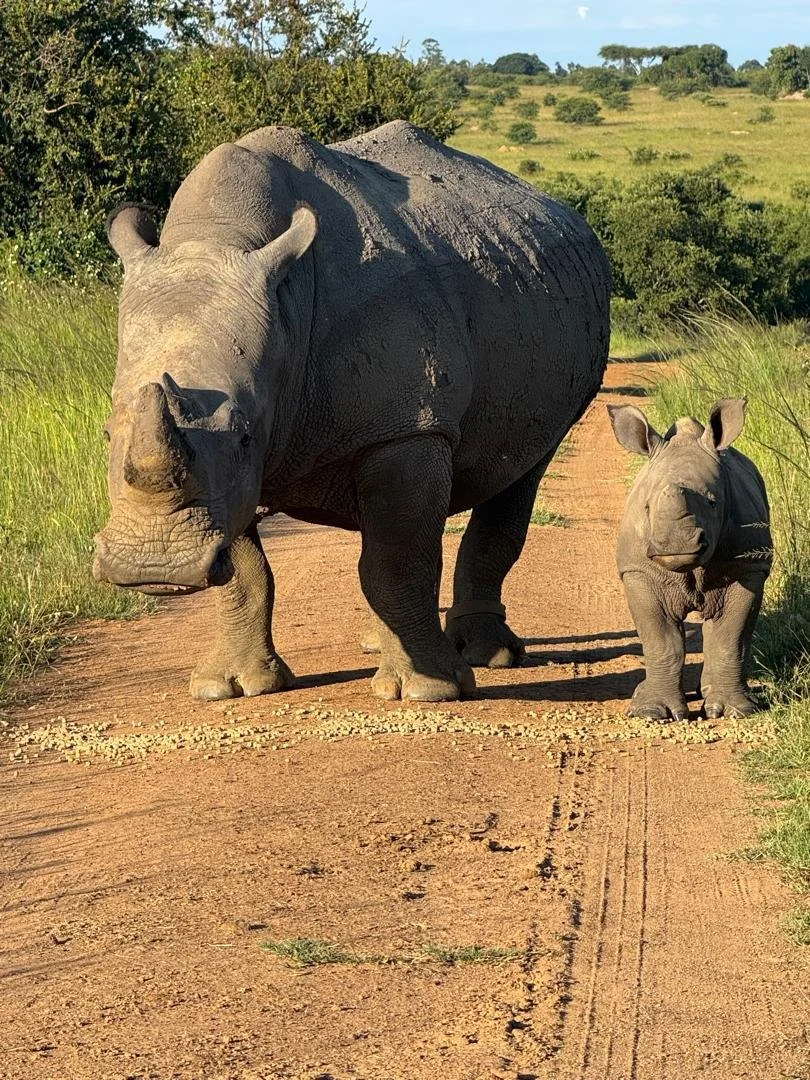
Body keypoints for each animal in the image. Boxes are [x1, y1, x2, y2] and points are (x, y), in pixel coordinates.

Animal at [93, 120, 610, 702]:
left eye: (246, 434)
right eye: (108, 433)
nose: (154, 566)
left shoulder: (406, 428)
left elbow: (397, 559)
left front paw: (426, 691)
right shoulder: (229, 477)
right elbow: (246, 568)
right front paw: (230, 687)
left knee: (521, 473)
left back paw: (485, 657)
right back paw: (379, 644)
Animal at [608, 399, 772, 720]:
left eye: (712, 502)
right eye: (647, 507)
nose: (676, 542)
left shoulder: (746, 568)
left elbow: (729, 637)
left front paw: (732, 710)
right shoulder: (639, 571)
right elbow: (660, 641)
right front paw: (651, 712)